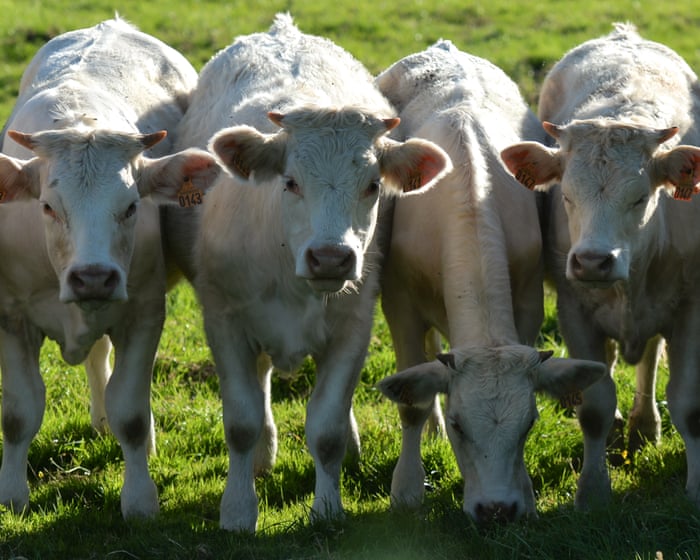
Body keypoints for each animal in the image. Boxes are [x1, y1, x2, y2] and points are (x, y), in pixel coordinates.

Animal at [0, 18, 220, 519]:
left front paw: (139, 497)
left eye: (132, 206)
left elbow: (131, 415)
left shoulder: (143, 313)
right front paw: (12, 494)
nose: (94, 277)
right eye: (48, 206)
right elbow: (20, 413)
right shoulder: (12, 317)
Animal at [163, 13, 452, 532]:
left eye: (372, 185)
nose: (331, 257)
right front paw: (238, 509)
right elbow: (241, 422)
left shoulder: (353, 327)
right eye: (291, 181)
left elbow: (327, 428)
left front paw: (328, 508)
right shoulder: (224, 321)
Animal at [374, 40, 606, 523]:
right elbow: (410, 404)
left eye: (530, 423)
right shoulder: (399, 304)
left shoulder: (528, 302)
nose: (497, 509)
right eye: (460, 424)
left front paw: (528, 496)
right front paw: (407, 488)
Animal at [501, 23, 700, 510]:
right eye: (567, 196)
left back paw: (644, 424)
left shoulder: (690, 309)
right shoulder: (575, 312)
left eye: (640, 197)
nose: (593, 261)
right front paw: (592, 489)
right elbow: (594, 406)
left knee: (648, 357)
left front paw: (696, 488)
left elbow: (688, 404)